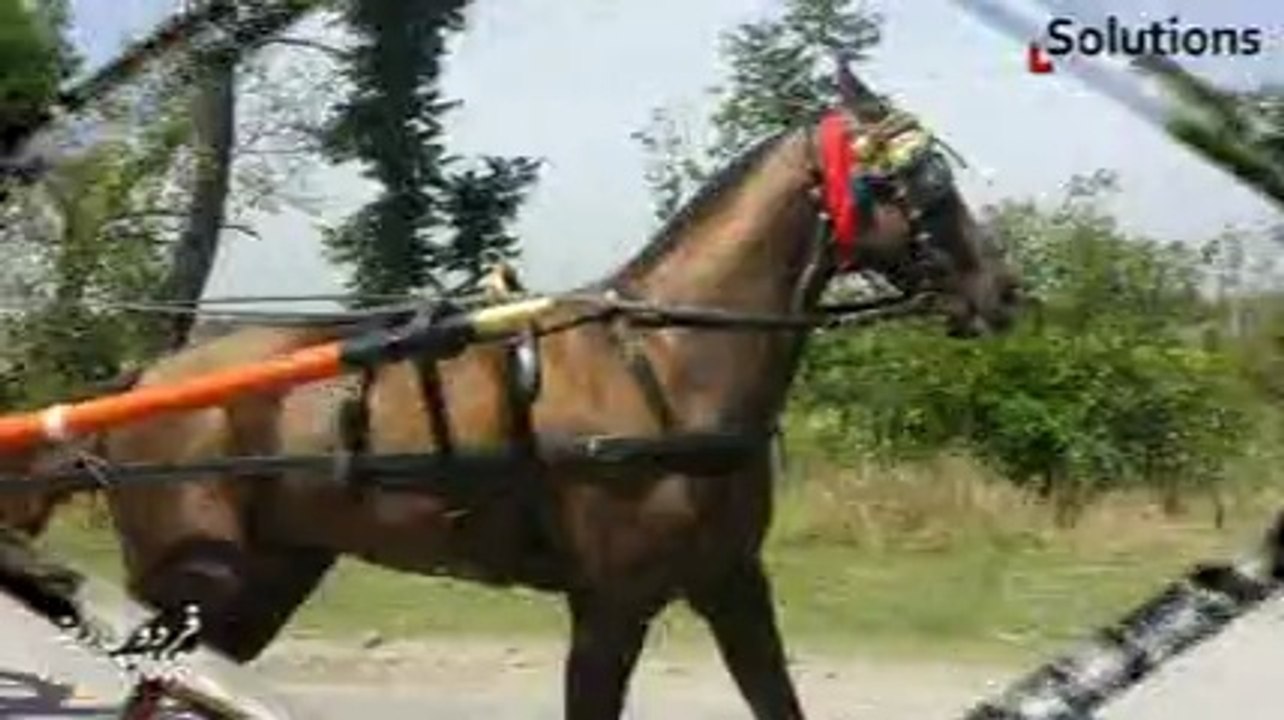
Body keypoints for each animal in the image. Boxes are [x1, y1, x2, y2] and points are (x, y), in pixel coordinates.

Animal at [7, 66, 1018, 720]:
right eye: (920, 180)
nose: (1003, 290)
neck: (667, 364)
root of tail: (151, 375)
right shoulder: (612, 604)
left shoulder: (732, 582)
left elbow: (779, 699)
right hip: (199, 581)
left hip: (273, 574)